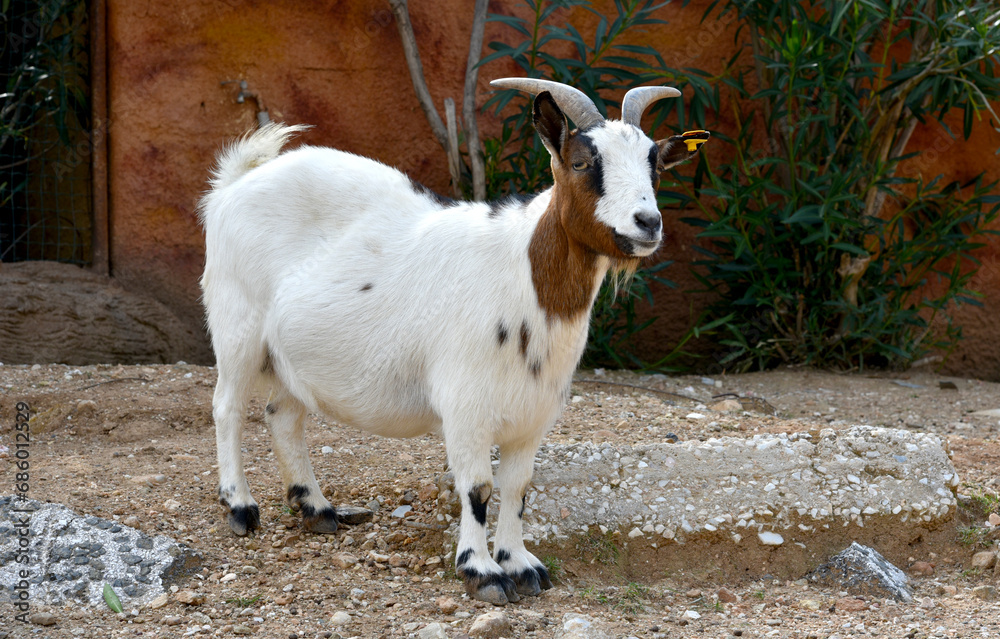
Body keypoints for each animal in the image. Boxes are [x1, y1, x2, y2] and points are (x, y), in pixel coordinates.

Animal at [199, 78, 709, 605]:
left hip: (295, 355)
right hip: (237, 323)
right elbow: (478, 489)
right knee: (227, 408)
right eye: (581, 162)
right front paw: (482, 571)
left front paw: (521, 565)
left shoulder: (535, 411)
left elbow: (519, 487)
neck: (523, 275)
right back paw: (240, 508)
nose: (647, 223)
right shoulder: (466, 405)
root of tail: (235, 183)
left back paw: (317, 509)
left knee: (282, 415)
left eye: (655, 164)